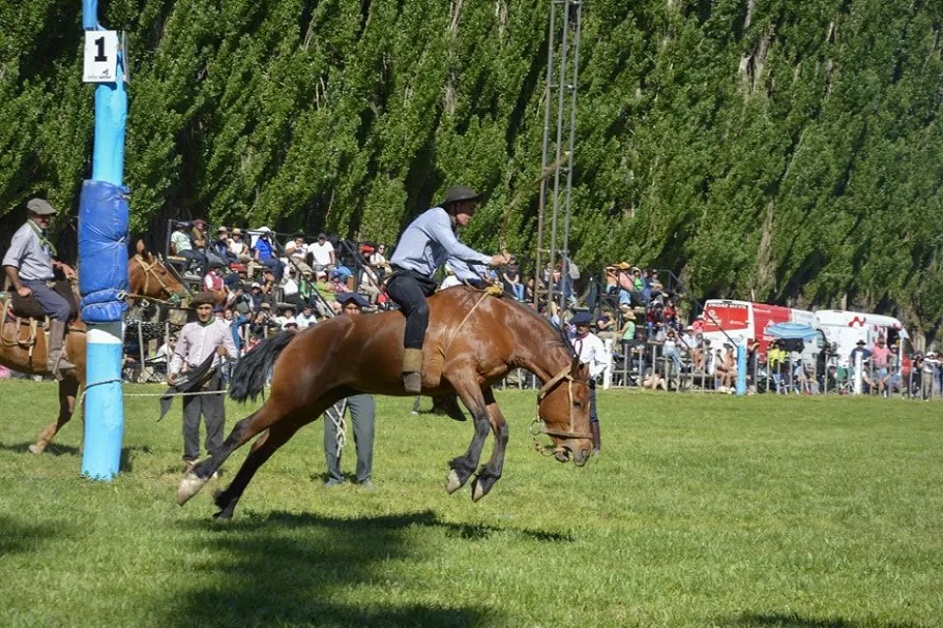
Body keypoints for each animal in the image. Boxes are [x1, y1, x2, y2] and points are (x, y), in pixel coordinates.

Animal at [0, 240, 188, 452]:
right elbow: (84, 411)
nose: (184, 293)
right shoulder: (84, 374)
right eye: (162, 272)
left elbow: (67, 411)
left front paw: (39, 445)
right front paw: (85, 449)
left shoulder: (69, 376)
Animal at [176, 286, 592, 520]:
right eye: (579, 402)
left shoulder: (482, 385)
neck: (498, 324)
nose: (584, 451)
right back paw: (193, 482)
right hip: (289, 398)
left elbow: (500, 427)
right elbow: (481, 424)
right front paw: (461, 473)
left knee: (261, 447)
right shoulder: (461, 376)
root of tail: (297, 335)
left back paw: (226, 506)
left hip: (306, 408)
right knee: (242, 430)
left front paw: (485, 480)